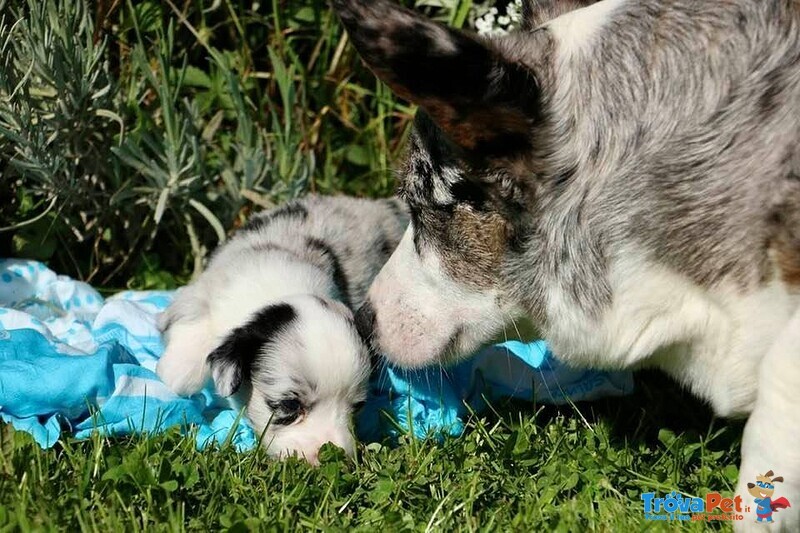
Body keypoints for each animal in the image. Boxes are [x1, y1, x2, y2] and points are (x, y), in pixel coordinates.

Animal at [156, 195, 406, 462]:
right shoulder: (205, 288)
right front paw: (177, 368)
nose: (335, 456)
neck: (276, 288)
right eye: (289, 406)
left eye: (357, 406)